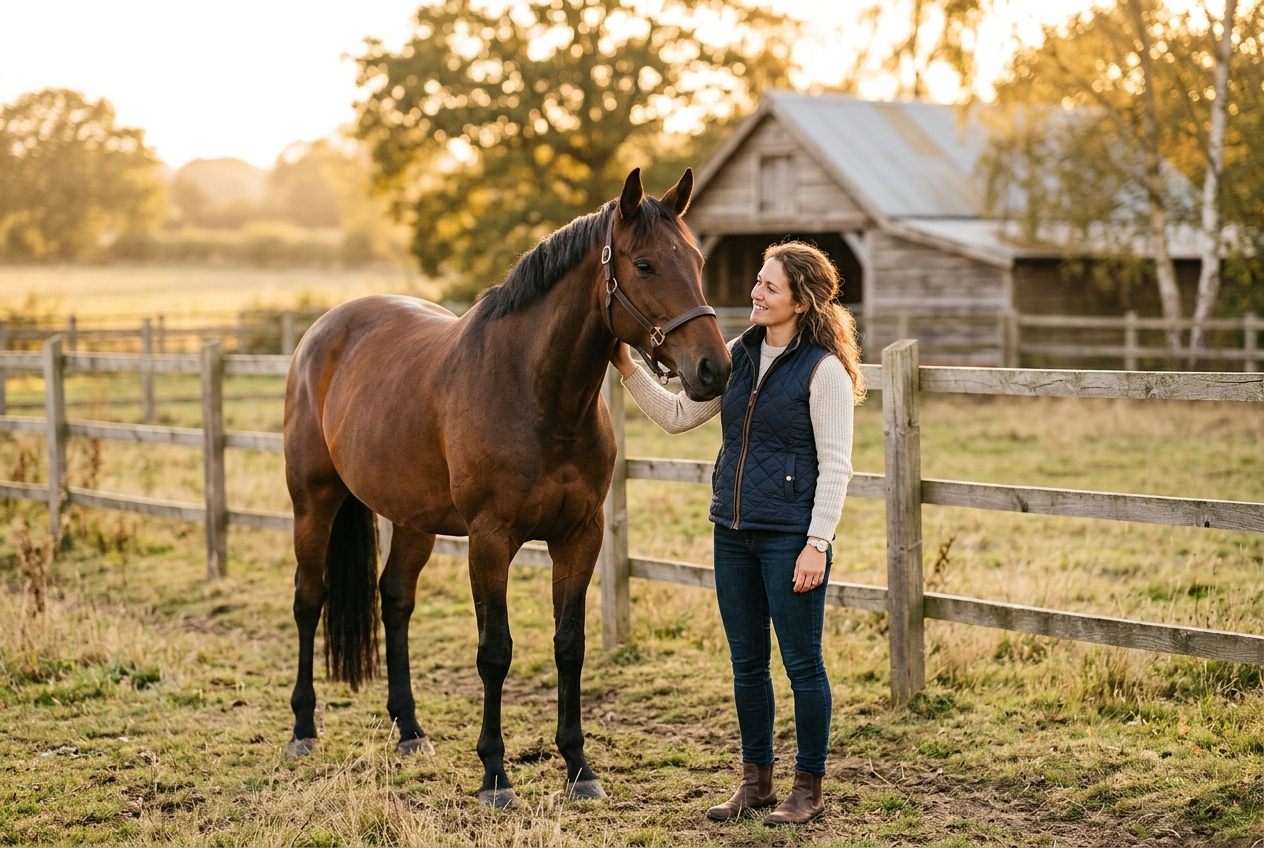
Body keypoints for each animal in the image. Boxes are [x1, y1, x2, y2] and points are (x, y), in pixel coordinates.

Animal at [282, 168, 731, 808]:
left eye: (696, 260)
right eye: (644, 265)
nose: (714, 369)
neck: (536, 394)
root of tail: (321, 331)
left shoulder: (580, 536)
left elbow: (569, 645)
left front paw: (579, 767)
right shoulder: (490, 541)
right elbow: (495, 651)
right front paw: (495, 775)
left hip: (414, 520)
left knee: (395, 600)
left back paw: (411, 731)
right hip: (313, 502)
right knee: (308, 599)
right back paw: (303, 728)